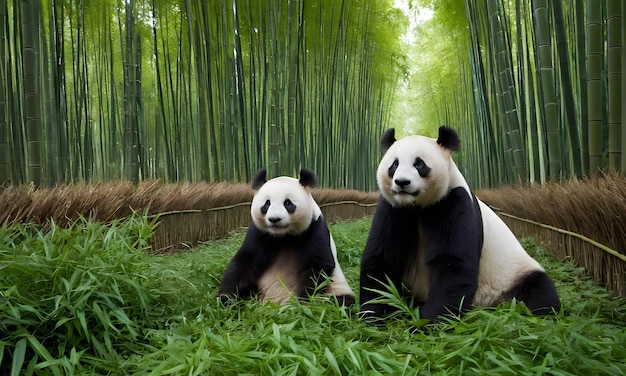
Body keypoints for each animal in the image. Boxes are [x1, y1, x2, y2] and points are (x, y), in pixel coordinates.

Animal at [219, 167, 356, 306]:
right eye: (267, 203)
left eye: (288, 203)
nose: (274, 219)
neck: (284, 237)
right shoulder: (259, 232)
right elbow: (246, 260)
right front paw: (227, 299)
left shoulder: (315, 228)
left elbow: (317, 266)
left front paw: (300, 302)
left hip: (336, 287)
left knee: (340, 301)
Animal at [358, 125, 560, 320]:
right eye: (394, 164)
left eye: (419, 164)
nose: (402, 182)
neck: (418, 207)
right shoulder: (393, 208)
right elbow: (382, 257)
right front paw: (375, 313)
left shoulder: (454, 200)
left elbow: (452, 264)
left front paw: (425, 322)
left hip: (512, 274)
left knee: (539, 292)